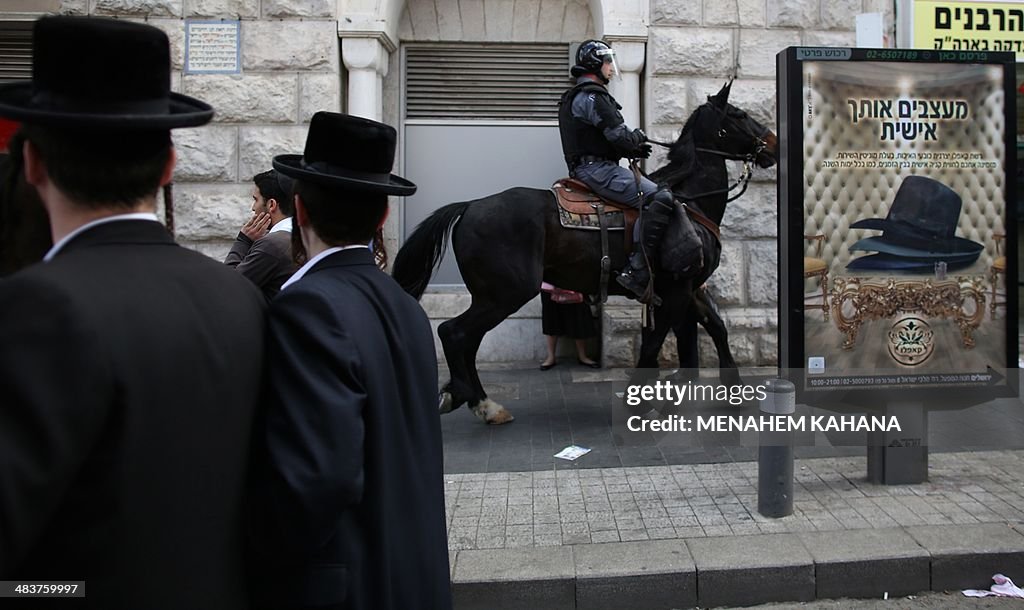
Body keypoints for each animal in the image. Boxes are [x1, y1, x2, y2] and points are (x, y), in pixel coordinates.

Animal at [391, 82, 774, 423]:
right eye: (739, 114)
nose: (772, 144)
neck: (689, 201)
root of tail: (469, 206)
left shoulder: (690, 288)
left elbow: (715, 328)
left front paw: (732, 391)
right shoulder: (675, 290)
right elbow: (658, 341)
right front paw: (644, 399)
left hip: (490, 296)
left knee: (466, 339)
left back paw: (477, 401)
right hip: (505, 294)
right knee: (454, 333)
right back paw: (476, 401)